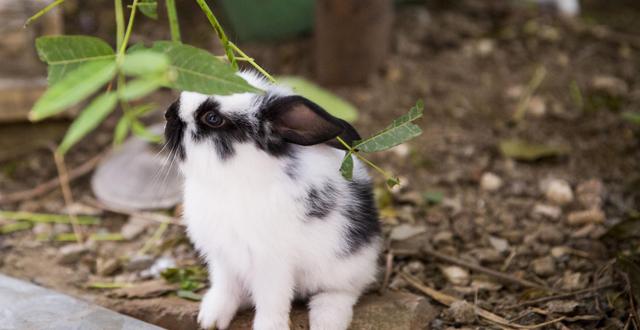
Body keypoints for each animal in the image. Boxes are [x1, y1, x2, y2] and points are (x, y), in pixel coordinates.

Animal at [165, 70, 382, 330]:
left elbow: (272, 301)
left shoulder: (272, 264)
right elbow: (225, 287)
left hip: (344, 266)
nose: (168, 114)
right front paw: (211, 319)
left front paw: (268, 326)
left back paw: (327, 320)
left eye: (212, 118)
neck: (234, 178)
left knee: (343, 291)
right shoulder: (224, 258)